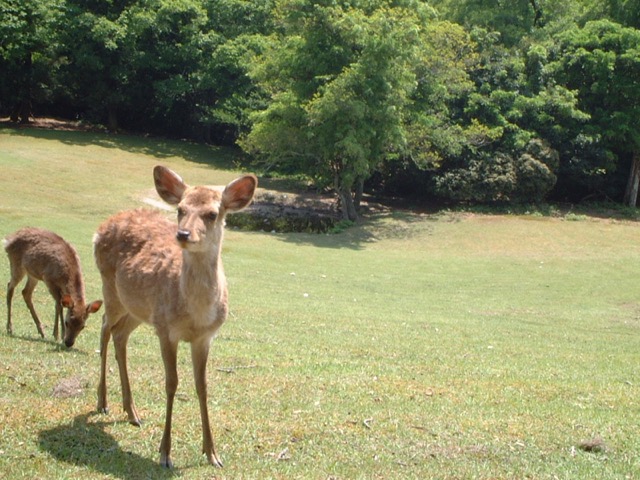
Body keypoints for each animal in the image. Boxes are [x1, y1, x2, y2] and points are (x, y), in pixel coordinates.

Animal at [93, 166, 258, 468]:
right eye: (181, 209)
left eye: (212, 213)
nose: (182, 234)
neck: (196, 315)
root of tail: (101, 228)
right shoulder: (166, 330)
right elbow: (171, 383)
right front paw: (165, 453)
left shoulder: (204, 337)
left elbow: (202, 386)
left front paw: (212, 454)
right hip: (111, 290)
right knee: (104, 329)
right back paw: (102, 402)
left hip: (138, 309)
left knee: (120, 334)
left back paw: (132, 412)